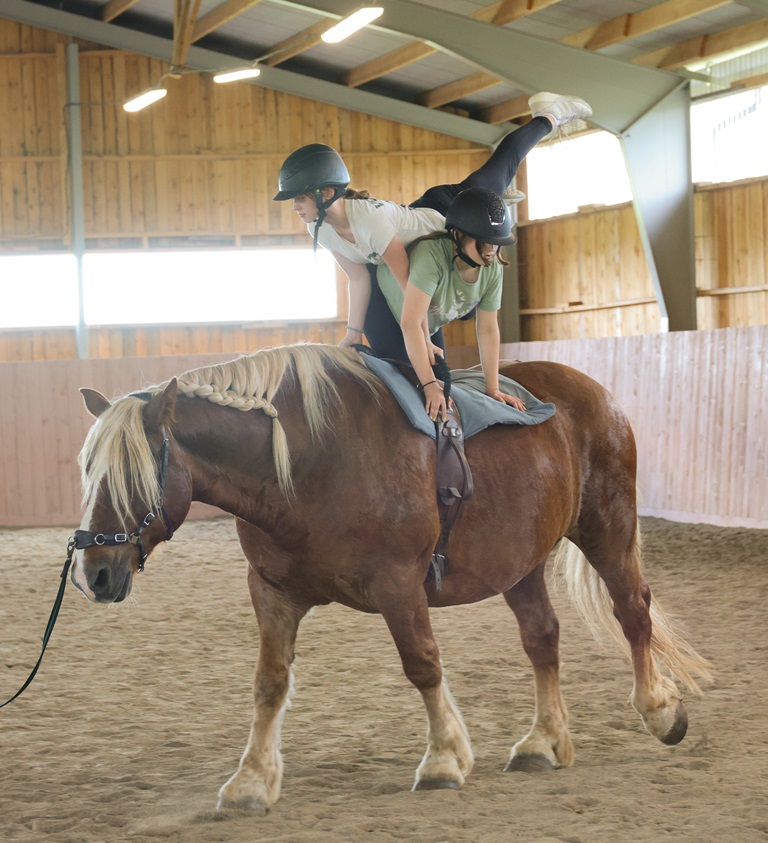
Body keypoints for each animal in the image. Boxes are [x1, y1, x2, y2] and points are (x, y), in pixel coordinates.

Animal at [69, 342, 712, 812]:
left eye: (132, 476)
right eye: (87, 471)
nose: (93, 573)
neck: (307, 463)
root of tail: (593, 391)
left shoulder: (398, 585)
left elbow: (423, 664)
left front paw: (445, 758)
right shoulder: (272, 593)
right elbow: (269, 683)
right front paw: (252, 779)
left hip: (608, 528)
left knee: (633, 611)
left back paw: (659, 711)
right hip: (520, 563)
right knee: (542, 637)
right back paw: (543, 740)